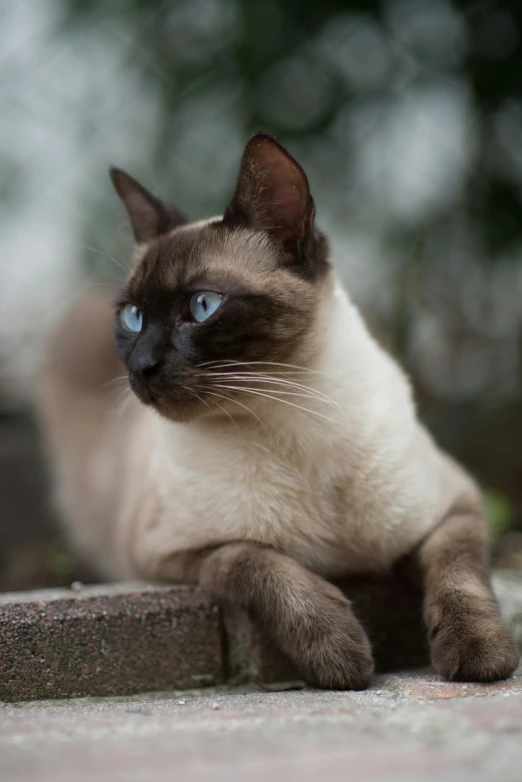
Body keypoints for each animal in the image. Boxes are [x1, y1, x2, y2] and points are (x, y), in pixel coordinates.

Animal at [36, 135, 516, 692]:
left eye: (202, 306)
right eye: (132, 317)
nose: (141, 368)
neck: (294, 418)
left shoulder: (456, 506)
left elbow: (461, 578)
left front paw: (482, 659)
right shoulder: (173, 552)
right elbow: (264, 566)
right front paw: (342, 658)